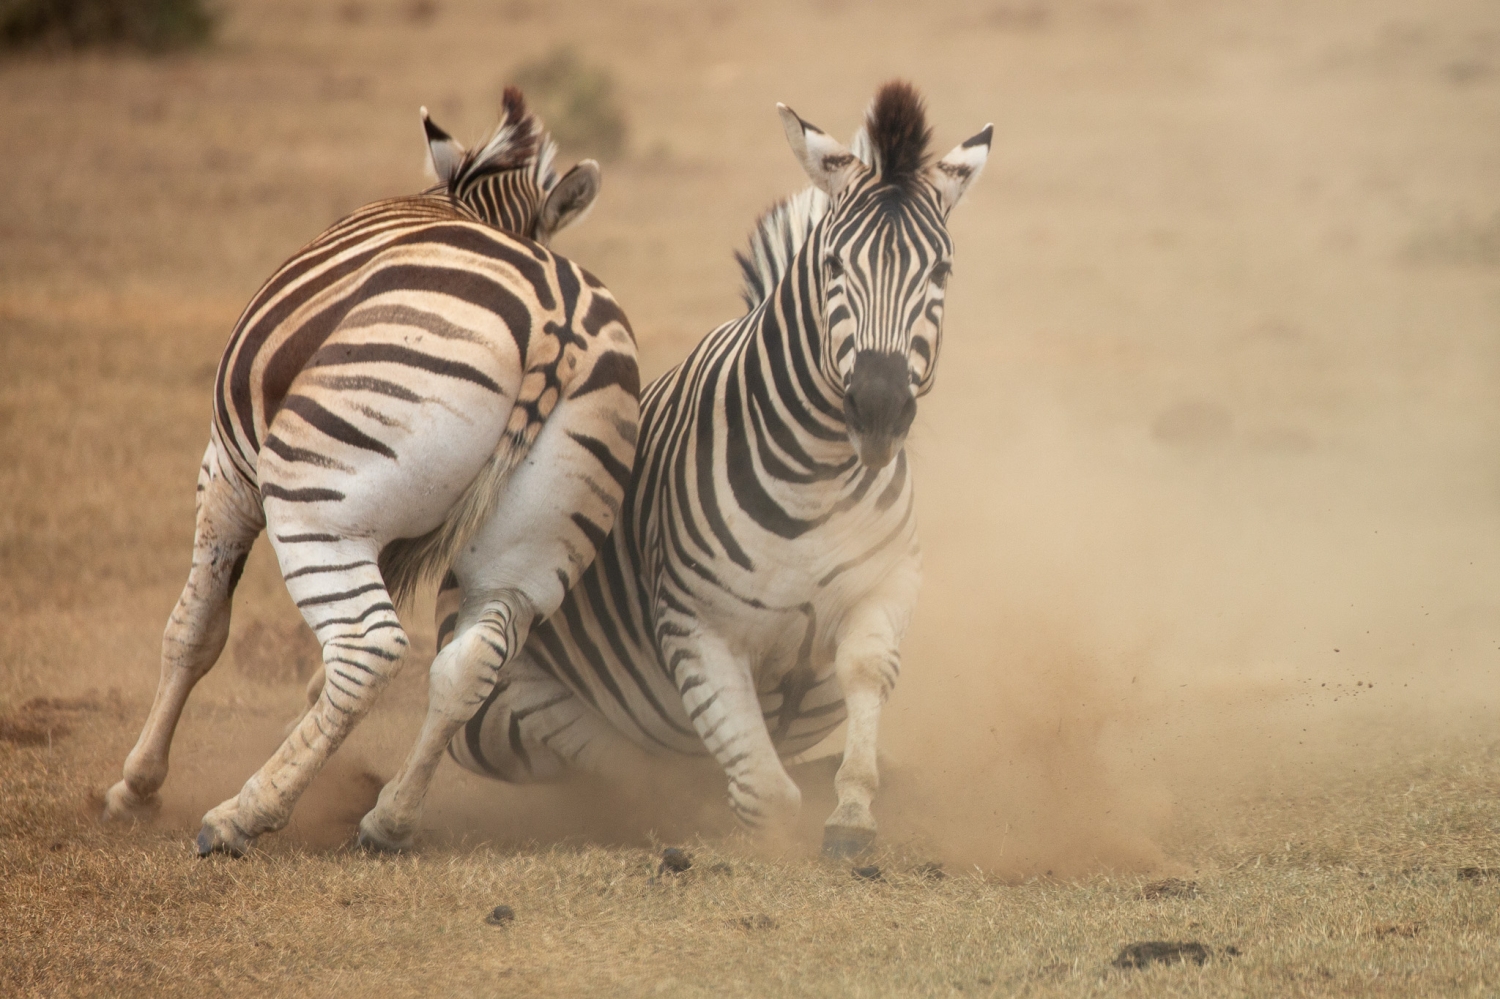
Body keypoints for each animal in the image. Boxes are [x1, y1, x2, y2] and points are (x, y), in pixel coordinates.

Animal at [101, 88, 641, 857]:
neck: (469, 207)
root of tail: (553, 319)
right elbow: (306, 673)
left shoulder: (227, 469)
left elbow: (194, 630)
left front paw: (136, 786)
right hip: (534, 542)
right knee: (470, 663)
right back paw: (389, 818)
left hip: (318, 500)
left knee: (368, 649)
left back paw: (244, 814)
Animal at [442, 81, 990, 855]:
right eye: (833, 267)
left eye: (940, 272)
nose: (880, 410)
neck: (821, 477)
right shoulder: (694, 629)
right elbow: (766, 794)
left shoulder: (886, 589)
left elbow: (864, 673)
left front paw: (853, 809)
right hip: (500, 704)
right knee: (594, 748)